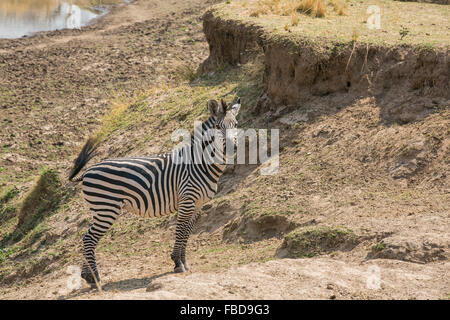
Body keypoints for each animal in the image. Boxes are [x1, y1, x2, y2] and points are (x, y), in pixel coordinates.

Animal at [67, 97, 241, 284]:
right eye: (217, 126)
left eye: (236, 124)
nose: (232, 147)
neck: (199, 164)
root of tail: (87, 171)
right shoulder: (187, 200)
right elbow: (181, 231)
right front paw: (177, 262)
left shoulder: (197, 205)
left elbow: (187, 232)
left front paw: (183, 261)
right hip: (106, 208)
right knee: (89, 238)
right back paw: (94, 277)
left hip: (100, 210)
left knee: (86, 237)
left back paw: (87, 275)